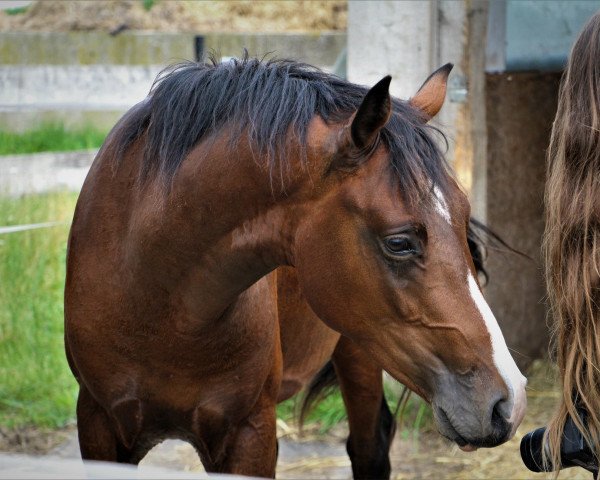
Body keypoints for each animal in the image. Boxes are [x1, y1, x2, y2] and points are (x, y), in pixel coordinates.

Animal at [63, 55, 528, 476]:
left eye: (464, 219)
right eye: (399, 242)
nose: (508, 401)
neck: (156, 299)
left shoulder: (250, 432)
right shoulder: (98, 422)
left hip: (359, 351)